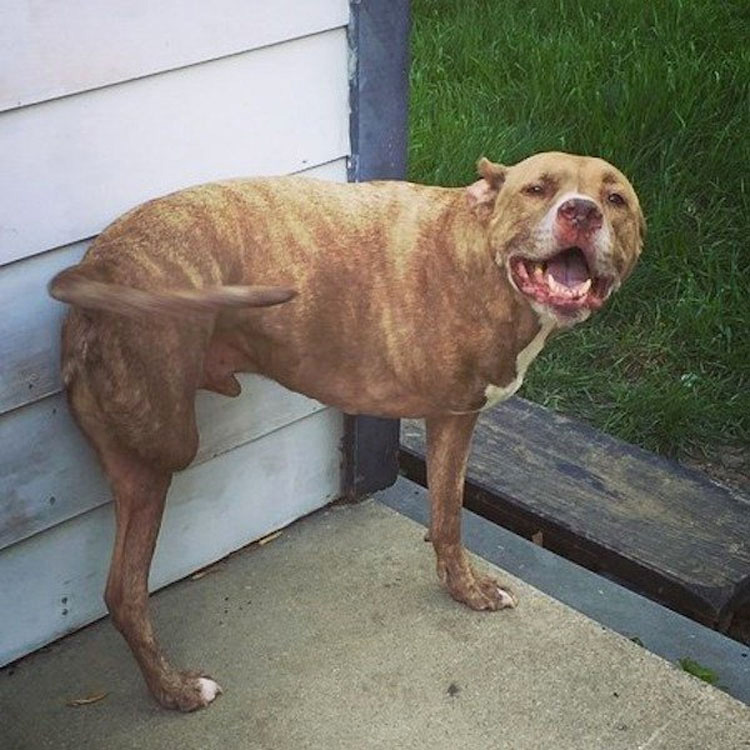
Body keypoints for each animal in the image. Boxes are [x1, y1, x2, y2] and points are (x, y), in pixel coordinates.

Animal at [48, 151, 648, 712]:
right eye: (537, 189)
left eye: (615, 199)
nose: (581, 212)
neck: (483, 259)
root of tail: (97, 265)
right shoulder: (454, 418)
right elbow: (450, 518)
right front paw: (466, 588)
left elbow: (444, 520)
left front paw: (461, 588)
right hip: (162, 450)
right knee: (127, 593)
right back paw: (174, 690)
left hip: (136, 462)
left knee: (118, 591)